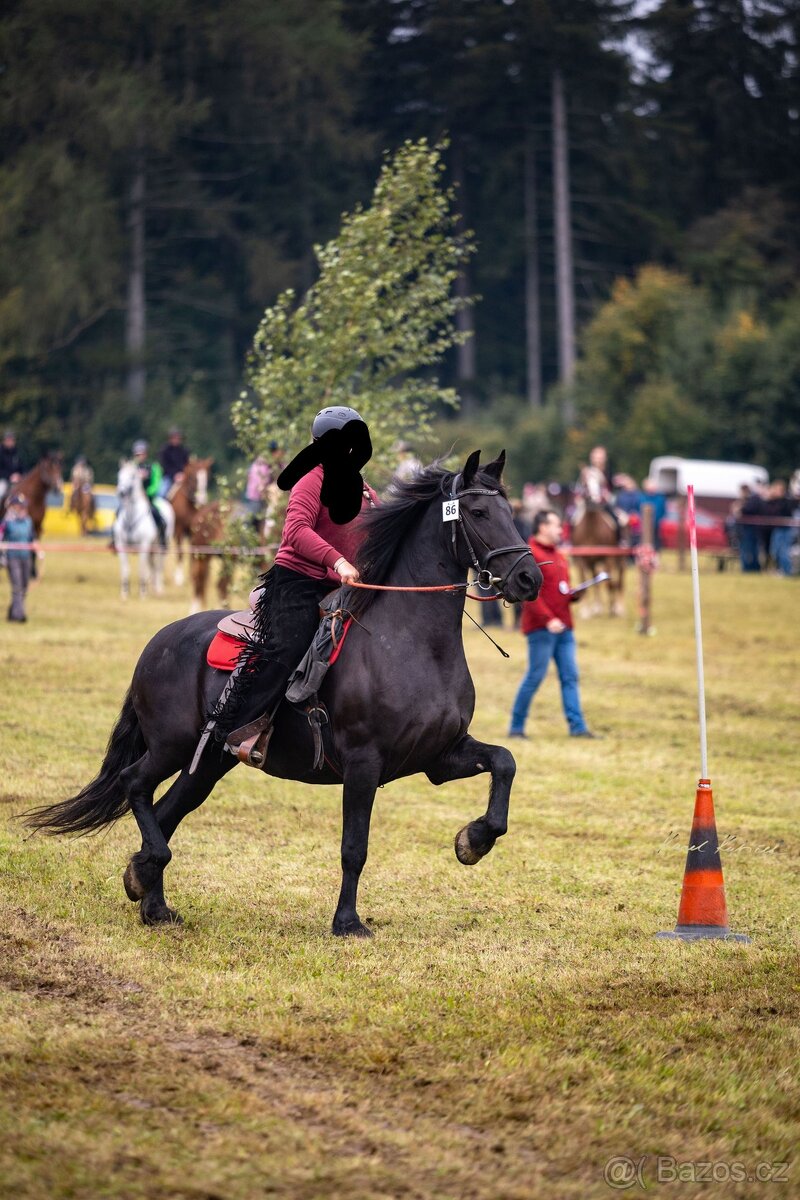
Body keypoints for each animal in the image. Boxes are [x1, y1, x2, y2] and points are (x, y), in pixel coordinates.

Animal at [112, 456, 173, 597]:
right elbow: (125, 569)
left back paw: (158, 589)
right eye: (119, 475)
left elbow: (141, 569)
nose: (121, 492)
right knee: (153, 566)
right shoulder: (121, 545)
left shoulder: (143, 545)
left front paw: (143, 594)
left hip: (161, 546)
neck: (130, 518)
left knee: (159, 566)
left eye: (133, 476)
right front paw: (124, 594)